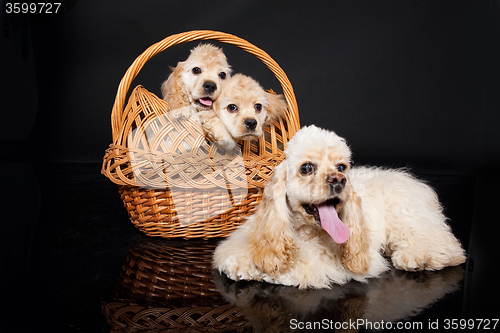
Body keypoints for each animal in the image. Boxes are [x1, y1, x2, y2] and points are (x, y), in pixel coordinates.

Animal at [213, 125, 466, 288]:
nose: (338, 180)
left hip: (408, 219)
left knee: (444, 245)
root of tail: (415, 183)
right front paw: (242, 262)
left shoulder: (328, 261)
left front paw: (264, 272)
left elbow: (296, 267)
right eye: (307, 168)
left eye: (342, 167)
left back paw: (417, 257)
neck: (304, 231)